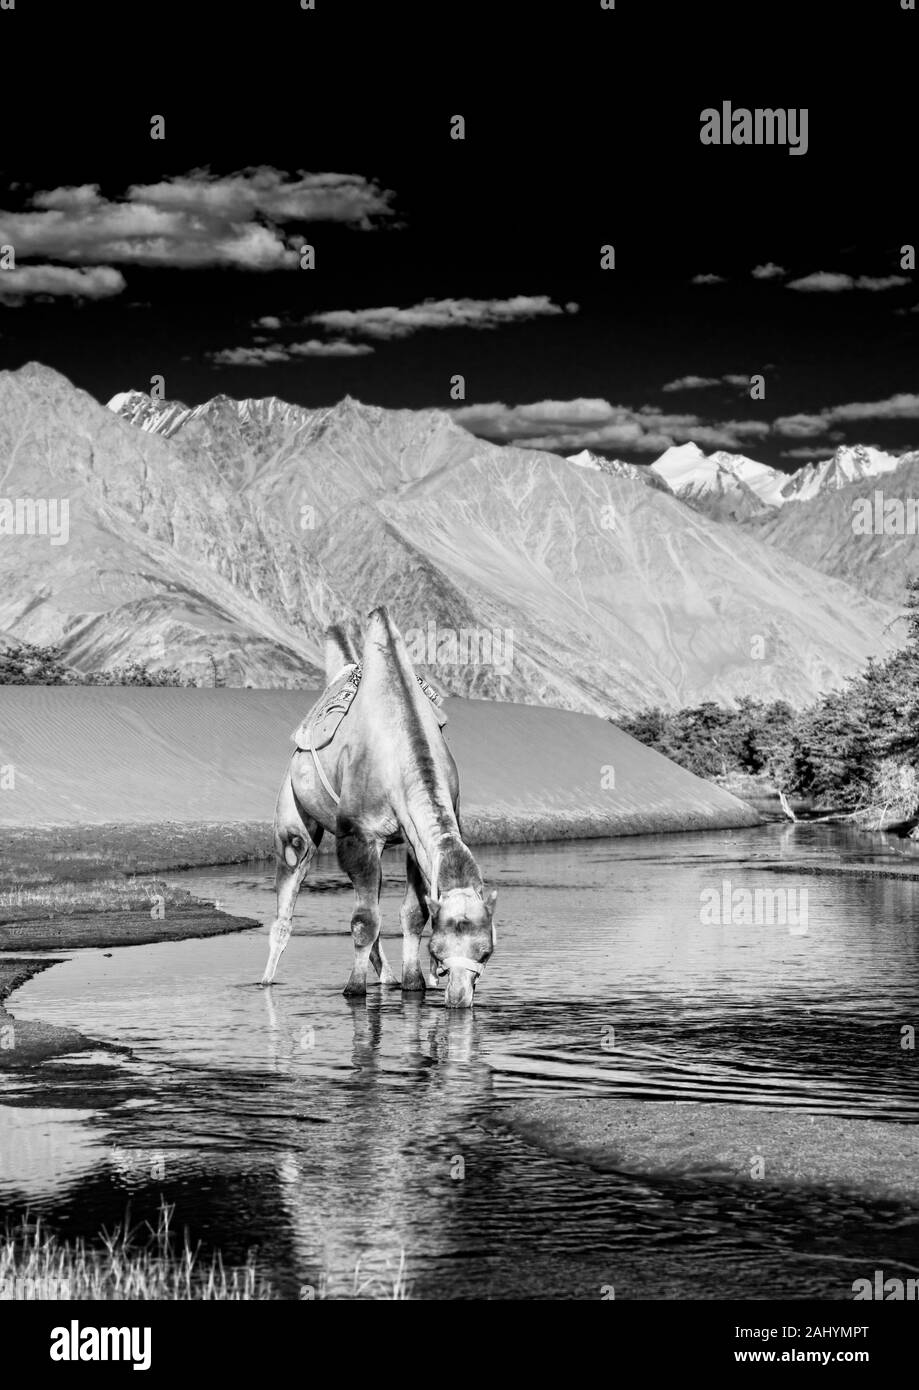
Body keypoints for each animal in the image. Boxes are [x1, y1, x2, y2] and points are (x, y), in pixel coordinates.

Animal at [258, 608, 497, 1011]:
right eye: (439, 950)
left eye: (485, 952)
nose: (459, 999)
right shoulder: (359, 836)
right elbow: (363, 921)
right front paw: (353, 989)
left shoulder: (414, 839)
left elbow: (414, 913)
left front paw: (413, 984)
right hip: (293, 807)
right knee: (290, 884)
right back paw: (266, 980)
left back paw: (388, 978)